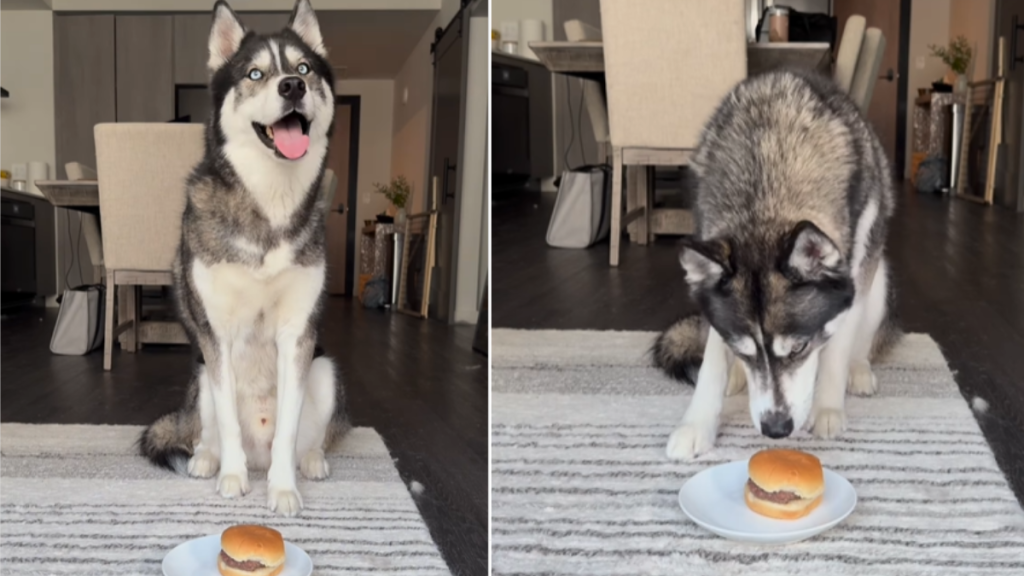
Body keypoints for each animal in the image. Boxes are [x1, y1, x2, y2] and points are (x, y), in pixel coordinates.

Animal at [138, 0, 350, 510]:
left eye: (303, 68)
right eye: (255, 73)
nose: (291, 86)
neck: (267, 204)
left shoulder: (298, 336)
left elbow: (288, 430)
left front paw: (283, 488)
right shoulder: (217, 335)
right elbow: (230, 422)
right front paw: (232, 478)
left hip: (325, 370)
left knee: (310, 437)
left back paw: (310, 461)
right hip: (202, 380)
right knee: (208, 432)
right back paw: (208, 459)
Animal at [651, 69, 901, 459]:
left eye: (798, 347)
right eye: (742, 347)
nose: (776, 429)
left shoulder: (852, 279)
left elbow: (837, 347)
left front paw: (827, 408)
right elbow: (712, 361)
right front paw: (696, 424)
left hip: (878, 282)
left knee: (863, 339)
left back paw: (858, 370)